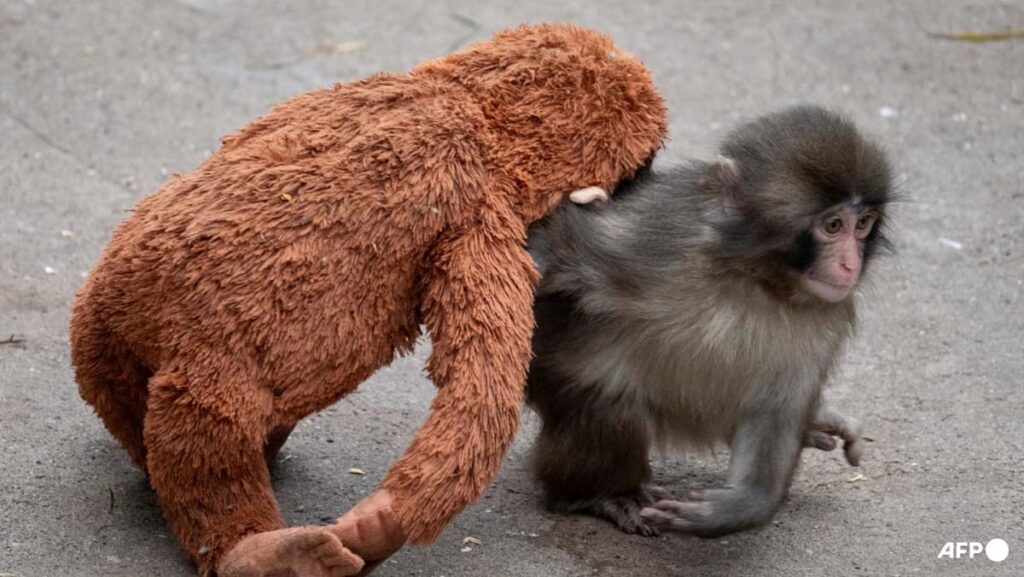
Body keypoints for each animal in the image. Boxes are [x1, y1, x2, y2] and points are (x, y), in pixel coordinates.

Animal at [526, 105, 893, 537]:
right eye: (832, 225)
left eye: (863, 223)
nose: (850, 264)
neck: (756, 280)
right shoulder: (651, 244)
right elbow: (561, 243)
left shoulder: (824, 322)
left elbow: (777, 411)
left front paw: (736, 508)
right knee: (612, 409)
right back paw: (596, 496)